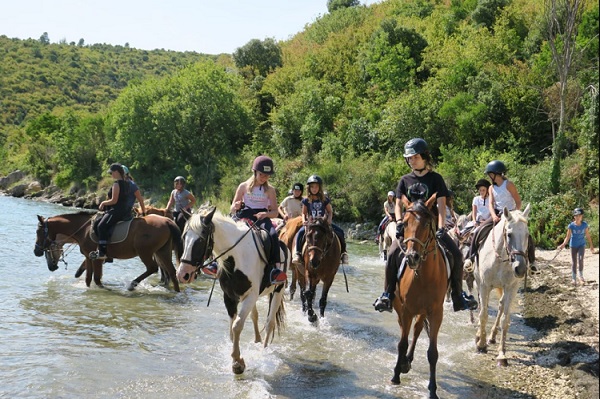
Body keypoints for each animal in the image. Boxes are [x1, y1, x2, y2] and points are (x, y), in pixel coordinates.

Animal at [33, 212, 180, 294]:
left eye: (38, 232)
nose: (36, 251)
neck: (83, 230)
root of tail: (167, 221)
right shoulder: (89, 257)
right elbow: (88, 279)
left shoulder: (97, 258)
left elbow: (97, 279)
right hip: (162, 251)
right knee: (172, 271)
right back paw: (176, 292)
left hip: (145, 252)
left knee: (153, 268)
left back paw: (132, 284)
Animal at [386, 197, 448, 399]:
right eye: (405, 223)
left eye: (427, 223)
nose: (412, 257)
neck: (424, 276)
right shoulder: (406, 310)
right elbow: (401, 343)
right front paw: (396, 374)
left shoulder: (436, 312)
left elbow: (432, 353)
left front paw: (433, 390)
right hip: (400, 308)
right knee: (405, 331)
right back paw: (402, 364)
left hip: (422, 312)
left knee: (417, 329)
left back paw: (408, 361)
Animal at [474, 205, 528, 368]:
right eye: (509, 234)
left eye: (527, 235)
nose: (520, 269)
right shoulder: (484, 286)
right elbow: (484, 315)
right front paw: (481, 345)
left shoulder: (511, 288)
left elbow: (505, 320)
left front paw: (502, 354)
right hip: (478, 283)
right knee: (482, 306)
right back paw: (480, 336)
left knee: (500, 306)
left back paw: (492, 337)